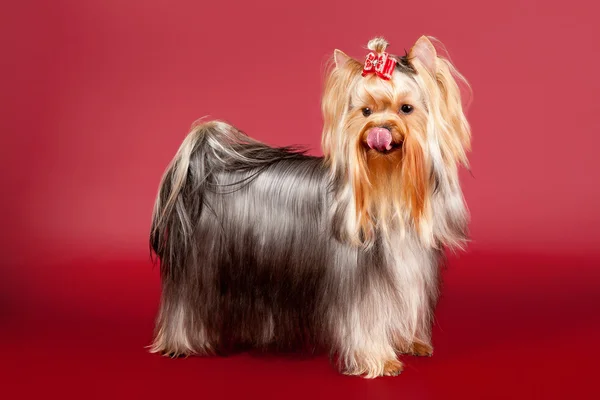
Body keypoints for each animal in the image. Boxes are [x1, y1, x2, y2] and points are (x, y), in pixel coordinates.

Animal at [148, 35, 472, 378]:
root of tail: (207, 170)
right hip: (202, 268)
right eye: (365, 111)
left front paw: (410, 342)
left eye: (406, 109)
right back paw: (179, 344)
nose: (378, 130)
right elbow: (365, 319)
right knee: (186, 305)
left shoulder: (409, 271)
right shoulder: (358, 284)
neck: (389, 190)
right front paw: (380, 360)